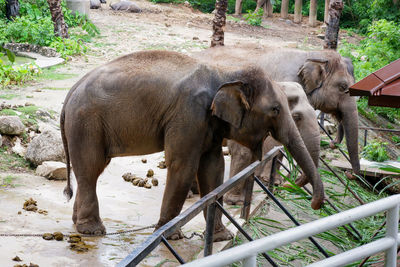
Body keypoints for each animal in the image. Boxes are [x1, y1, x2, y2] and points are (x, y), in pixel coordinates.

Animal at [60, 49, 324, 239]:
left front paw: (220, 237)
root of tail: (71, 91)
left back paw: (78, 223)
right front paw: (170, 236)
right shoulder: (189, 114)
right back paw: (92, 230)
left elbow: (213, 169)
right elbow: (183, 165)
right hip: (86, 122)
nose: (314, 205)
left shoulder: (210, 123)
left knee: (92, 170)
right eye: (276, 110)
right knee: (91, 168)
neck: (227, 73)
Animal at [195, 46, 360, 179]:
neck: (313, 54)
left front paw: (275, 181)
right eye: (343, 87)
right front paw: (265, 178)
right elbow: (274, 140)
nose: (348, 174)